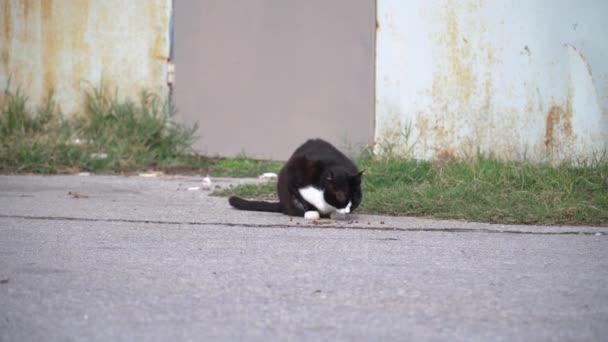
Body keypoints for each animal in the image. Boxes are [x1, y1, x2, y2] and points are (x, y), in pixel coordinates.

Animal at [227, 138, 360, 219]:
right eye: (340, 196)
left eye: (356, 198)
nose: (348, 210)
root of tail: (281, 203)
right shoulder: (293, 175)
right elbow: (300, 195)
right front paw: (311, 211)